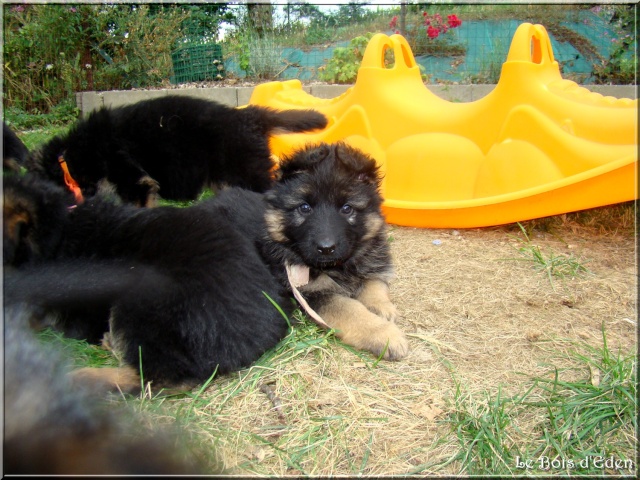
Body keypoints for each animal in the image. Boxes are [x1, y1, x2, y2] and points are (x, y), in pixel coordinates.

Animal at [210, 142, 410, 360]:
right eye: (305, 208)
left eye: (347, 208)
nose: (326, 248)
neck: (339, 267)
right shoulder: (313, 294)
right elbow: (351, 310)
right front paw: (384, 334)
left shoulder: (371, 261)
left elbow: (374, 283)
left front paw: (382, 307)